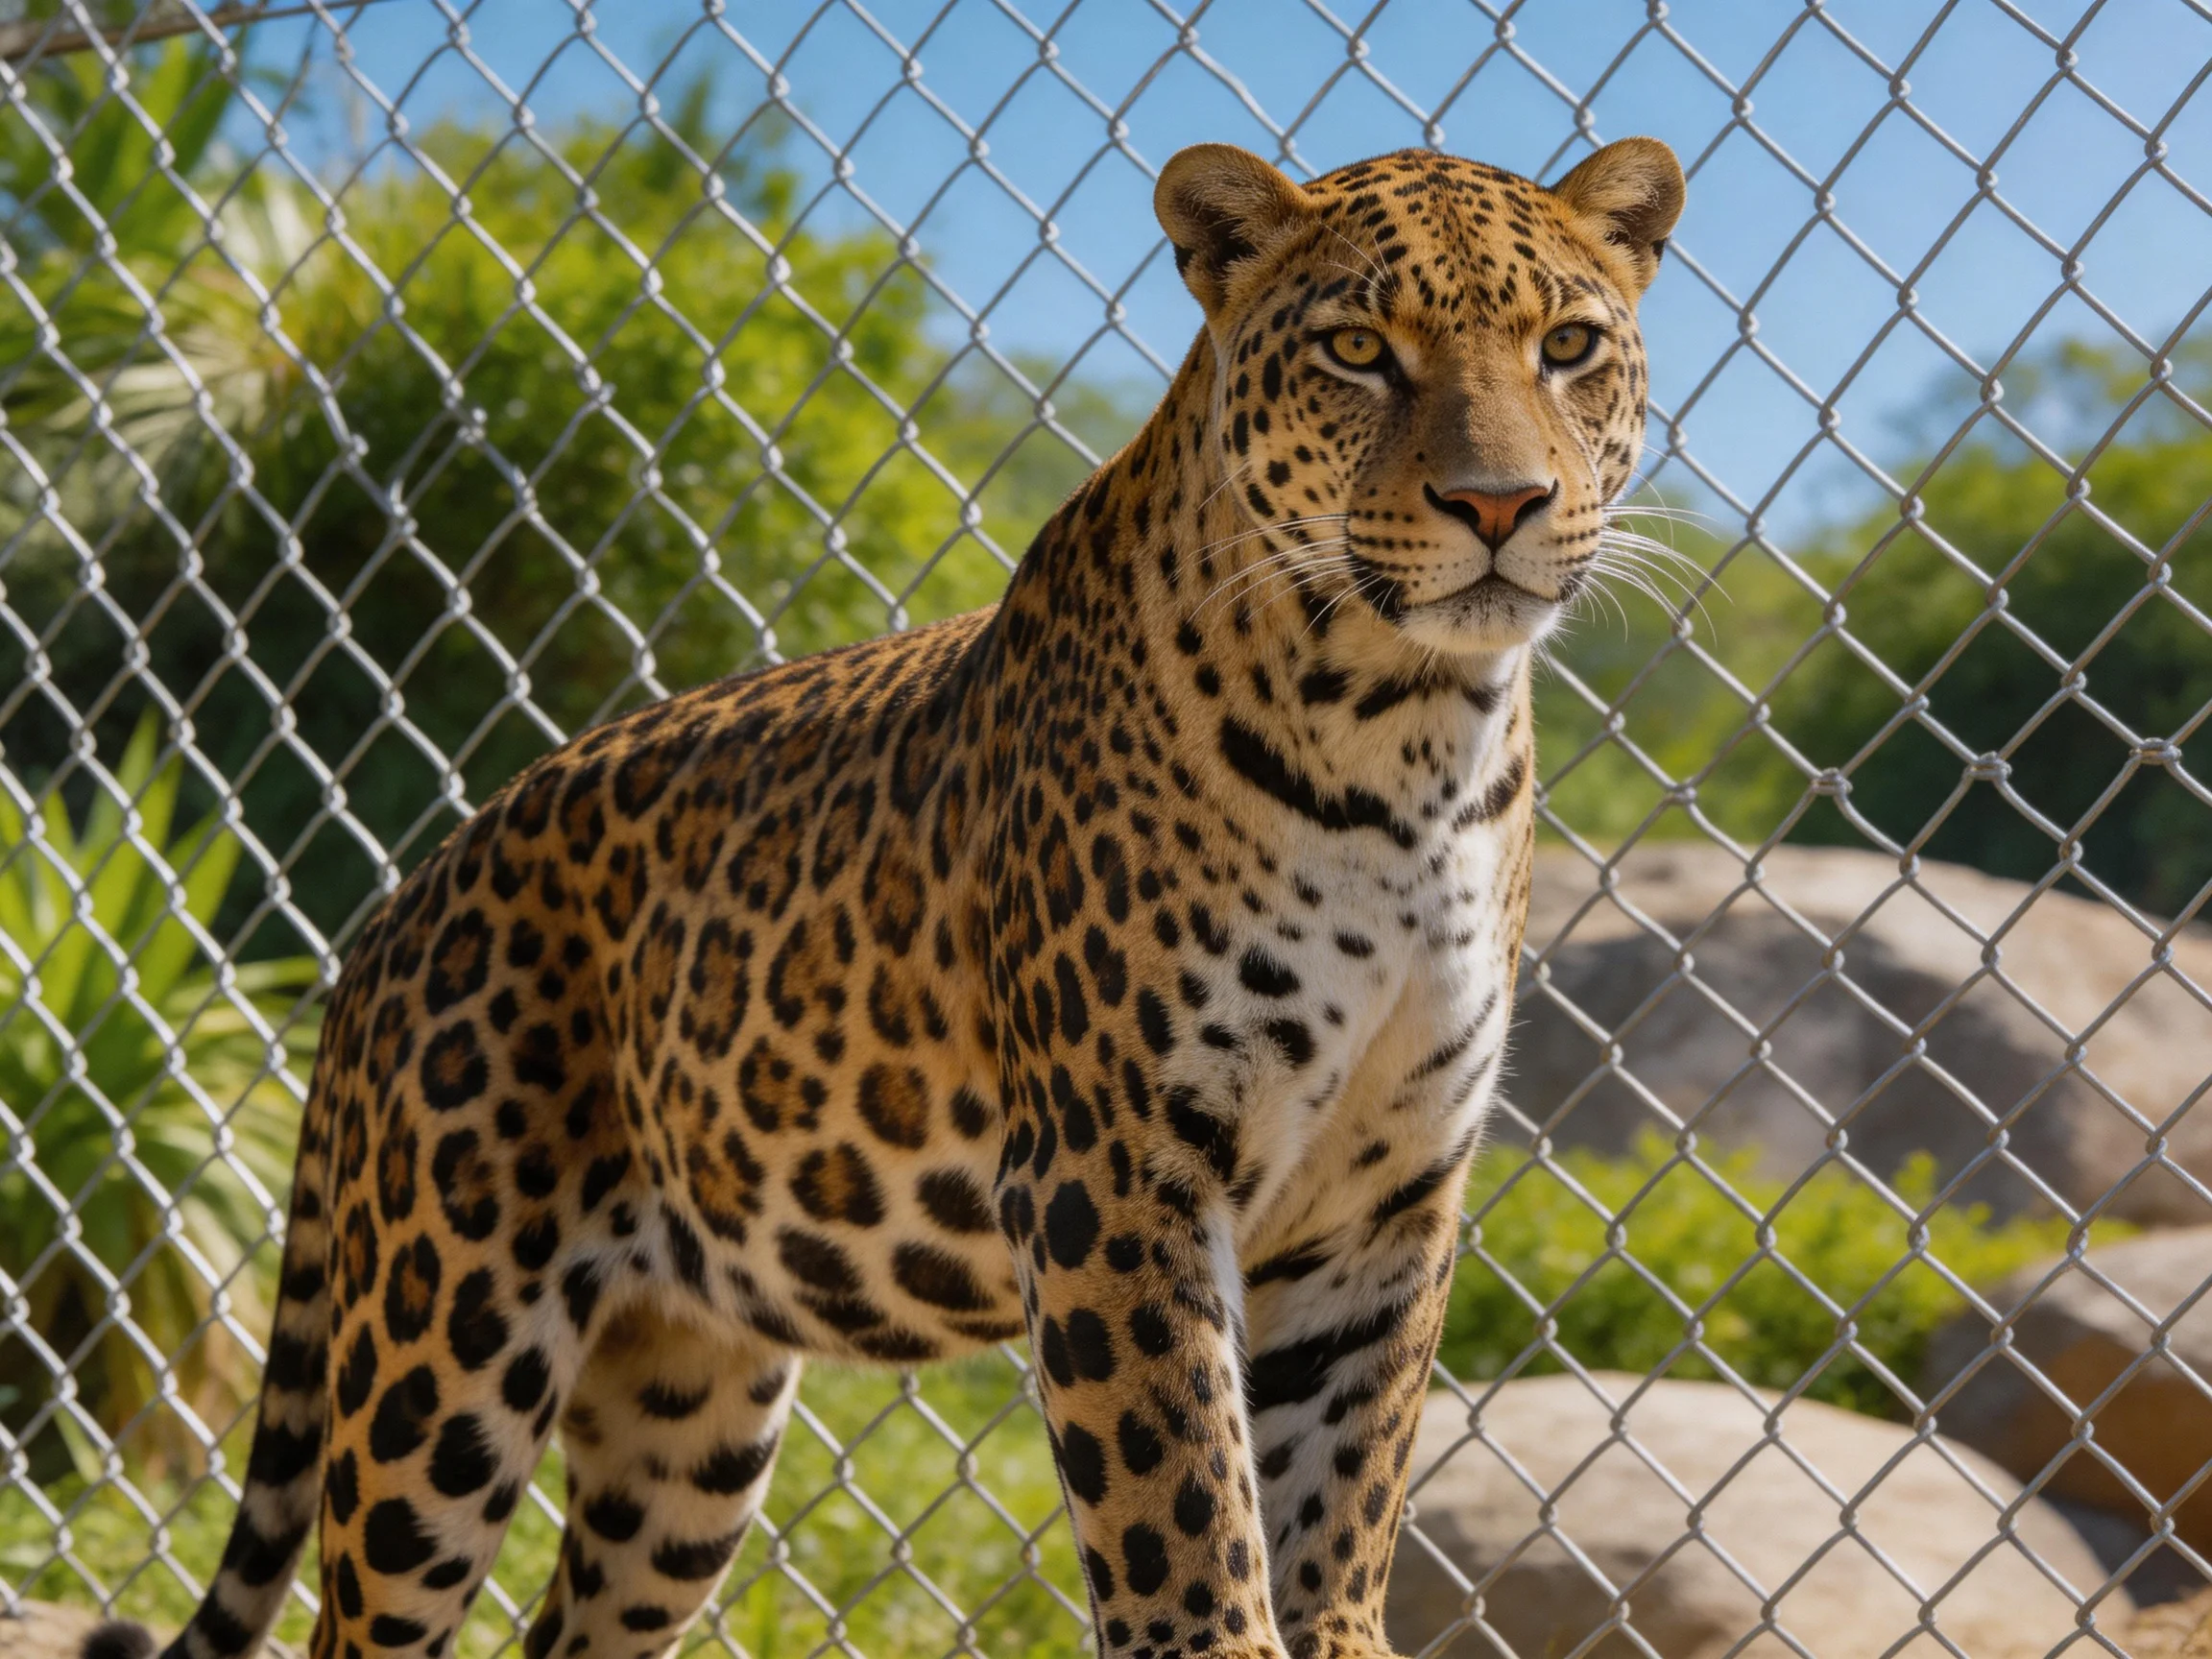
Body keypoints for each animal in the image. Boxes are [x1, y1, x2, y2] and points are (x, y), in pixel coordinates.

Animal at [86, 135, 1683, 1659]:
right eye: (1359, 348)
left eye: (1566, 346)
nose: (1500, 502)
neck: (1411, 736)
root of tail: (394, 915)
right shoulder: (1120, 1173)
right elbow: (1183, 1507)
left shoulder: (1386, 1200)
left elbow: (1344, 1492)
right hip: (439, 1355)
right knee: (358, 1614)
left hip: (688, 1418)